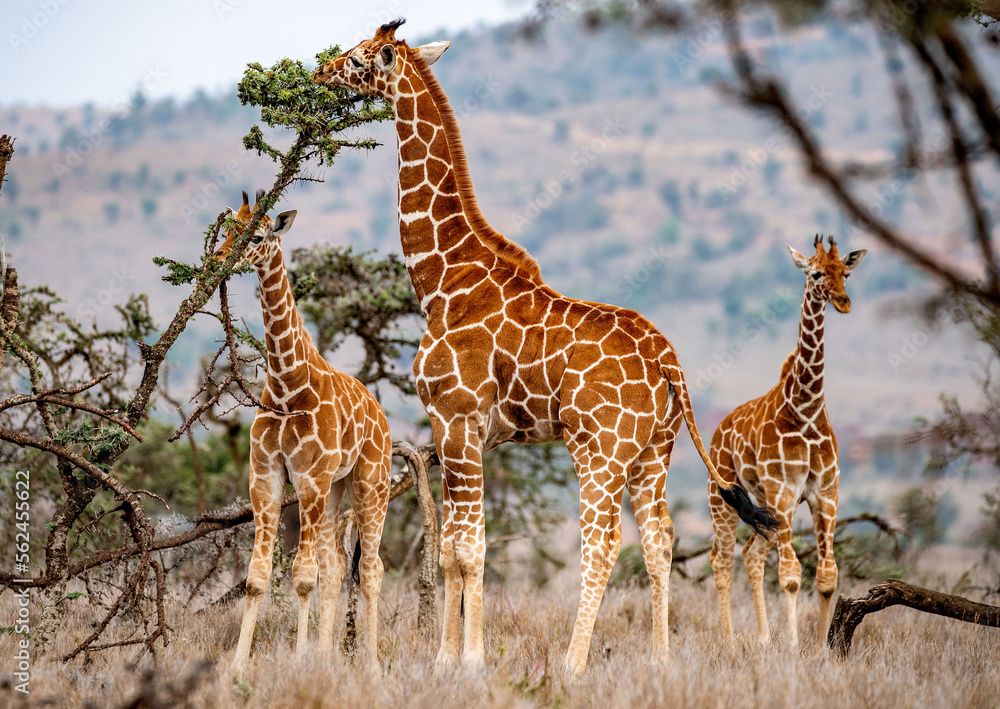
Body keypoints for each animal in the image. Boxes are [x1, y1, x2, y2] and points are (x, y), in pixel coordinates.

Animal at [214, 190, 392, 673]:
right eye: (225, 232)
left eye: (257, 236)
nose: (217, 261)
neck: (287, 384)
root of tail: (381, 414)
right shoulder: (266, 477)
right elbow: (258, 577)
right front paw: (238, 666)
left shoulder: (309, 480)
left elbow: (302, 577)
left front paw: (298, 661)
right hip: (334, 489)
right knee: (336, 566)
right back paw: (329, 655)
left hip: (370, 483)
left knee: (370, 569)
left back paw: (371, 665)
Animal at [314, 19, 777, 675]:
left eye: (358, 57)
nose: (319, 71)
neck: (441, 277)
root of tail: (669, 362)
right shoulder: (467, 432)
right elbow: (454, 544)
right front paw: (446, 660)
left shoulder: (455, 419)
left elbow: (467, 548)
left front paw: (468, 661)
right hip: (653, 453)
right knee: (658, 541)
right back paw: (659, 661)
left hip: (599, 450)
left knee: (602, 543)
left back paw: (572, 663)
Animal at [708, 235, 866, 649]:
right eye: (815, 273)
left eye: (845, 273)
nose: (843, 302)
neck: (806, 408)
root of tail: (717, 431)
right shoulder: (784, 490)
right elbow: (792, 575)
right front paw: (794, 646)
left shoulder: (825, 492)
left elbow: (827, 576)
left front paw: (821, 649)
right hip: (724, 498)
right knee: (722, 559)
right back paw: (730, 640)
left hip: (769, 508)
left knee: (751, 554)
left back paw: (763, 638)